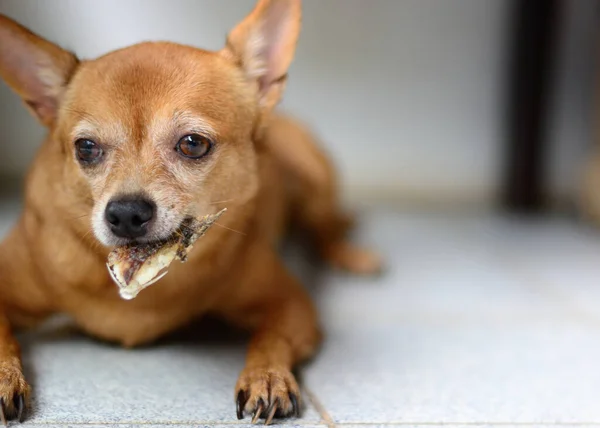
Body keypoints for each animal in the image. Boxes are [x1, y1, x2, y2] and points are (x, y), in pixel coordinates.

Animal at [0, 0, 380, 424]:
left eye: (193, 144)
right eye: (85, 148)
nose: (125, 213)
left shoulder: (289, 303)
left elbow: (270, 337)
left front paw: (267, 376)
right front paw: (5, 378)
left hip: (315, 178)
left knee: (328, 227)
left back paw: (353, 255)